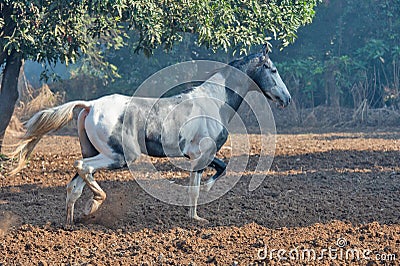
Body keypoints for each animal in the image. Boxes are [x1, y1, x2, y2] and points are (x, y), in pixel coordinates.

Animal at [10, 46, 290, 224]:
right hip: (119, 157)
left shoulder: (198, 157)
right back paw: (95, 203)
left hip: (95, 151)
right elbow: (204, 183)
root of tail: (90, 105)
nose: (286, 99)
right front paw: (199, 213)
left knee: (74, 184)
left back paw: (73, 221)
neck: (214, 100)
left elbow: (208, 178)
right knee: (83, 167)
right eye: (273, 70)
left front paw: (194, 215)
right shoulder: (202, 155)